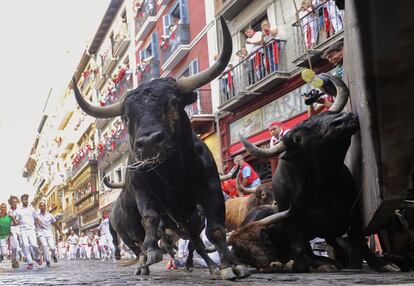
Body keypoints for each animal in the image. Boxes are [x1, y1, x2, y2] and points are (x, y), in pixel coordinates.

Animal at [72, 16, 249, 280]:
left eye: (174, 102)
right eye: (126, 116)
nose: (149, 142)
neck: (171, 174)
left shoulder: (211, 190)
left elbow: (214, 231)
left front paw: (230, 264)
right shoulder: (143, 194)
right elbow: (150, 220)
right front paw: (151, 253)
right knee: (139, 243)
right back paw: (145, 261)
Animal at [230, 75, 402, 272]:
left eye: (324, 116)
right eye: (298, 137)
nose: (344, 119)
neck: (323, 184)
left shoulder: (354, 210)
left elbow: (358, 240)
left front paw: (382, 264)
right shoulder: (293, 221)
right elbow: (299, 249)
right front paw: (309, 266)